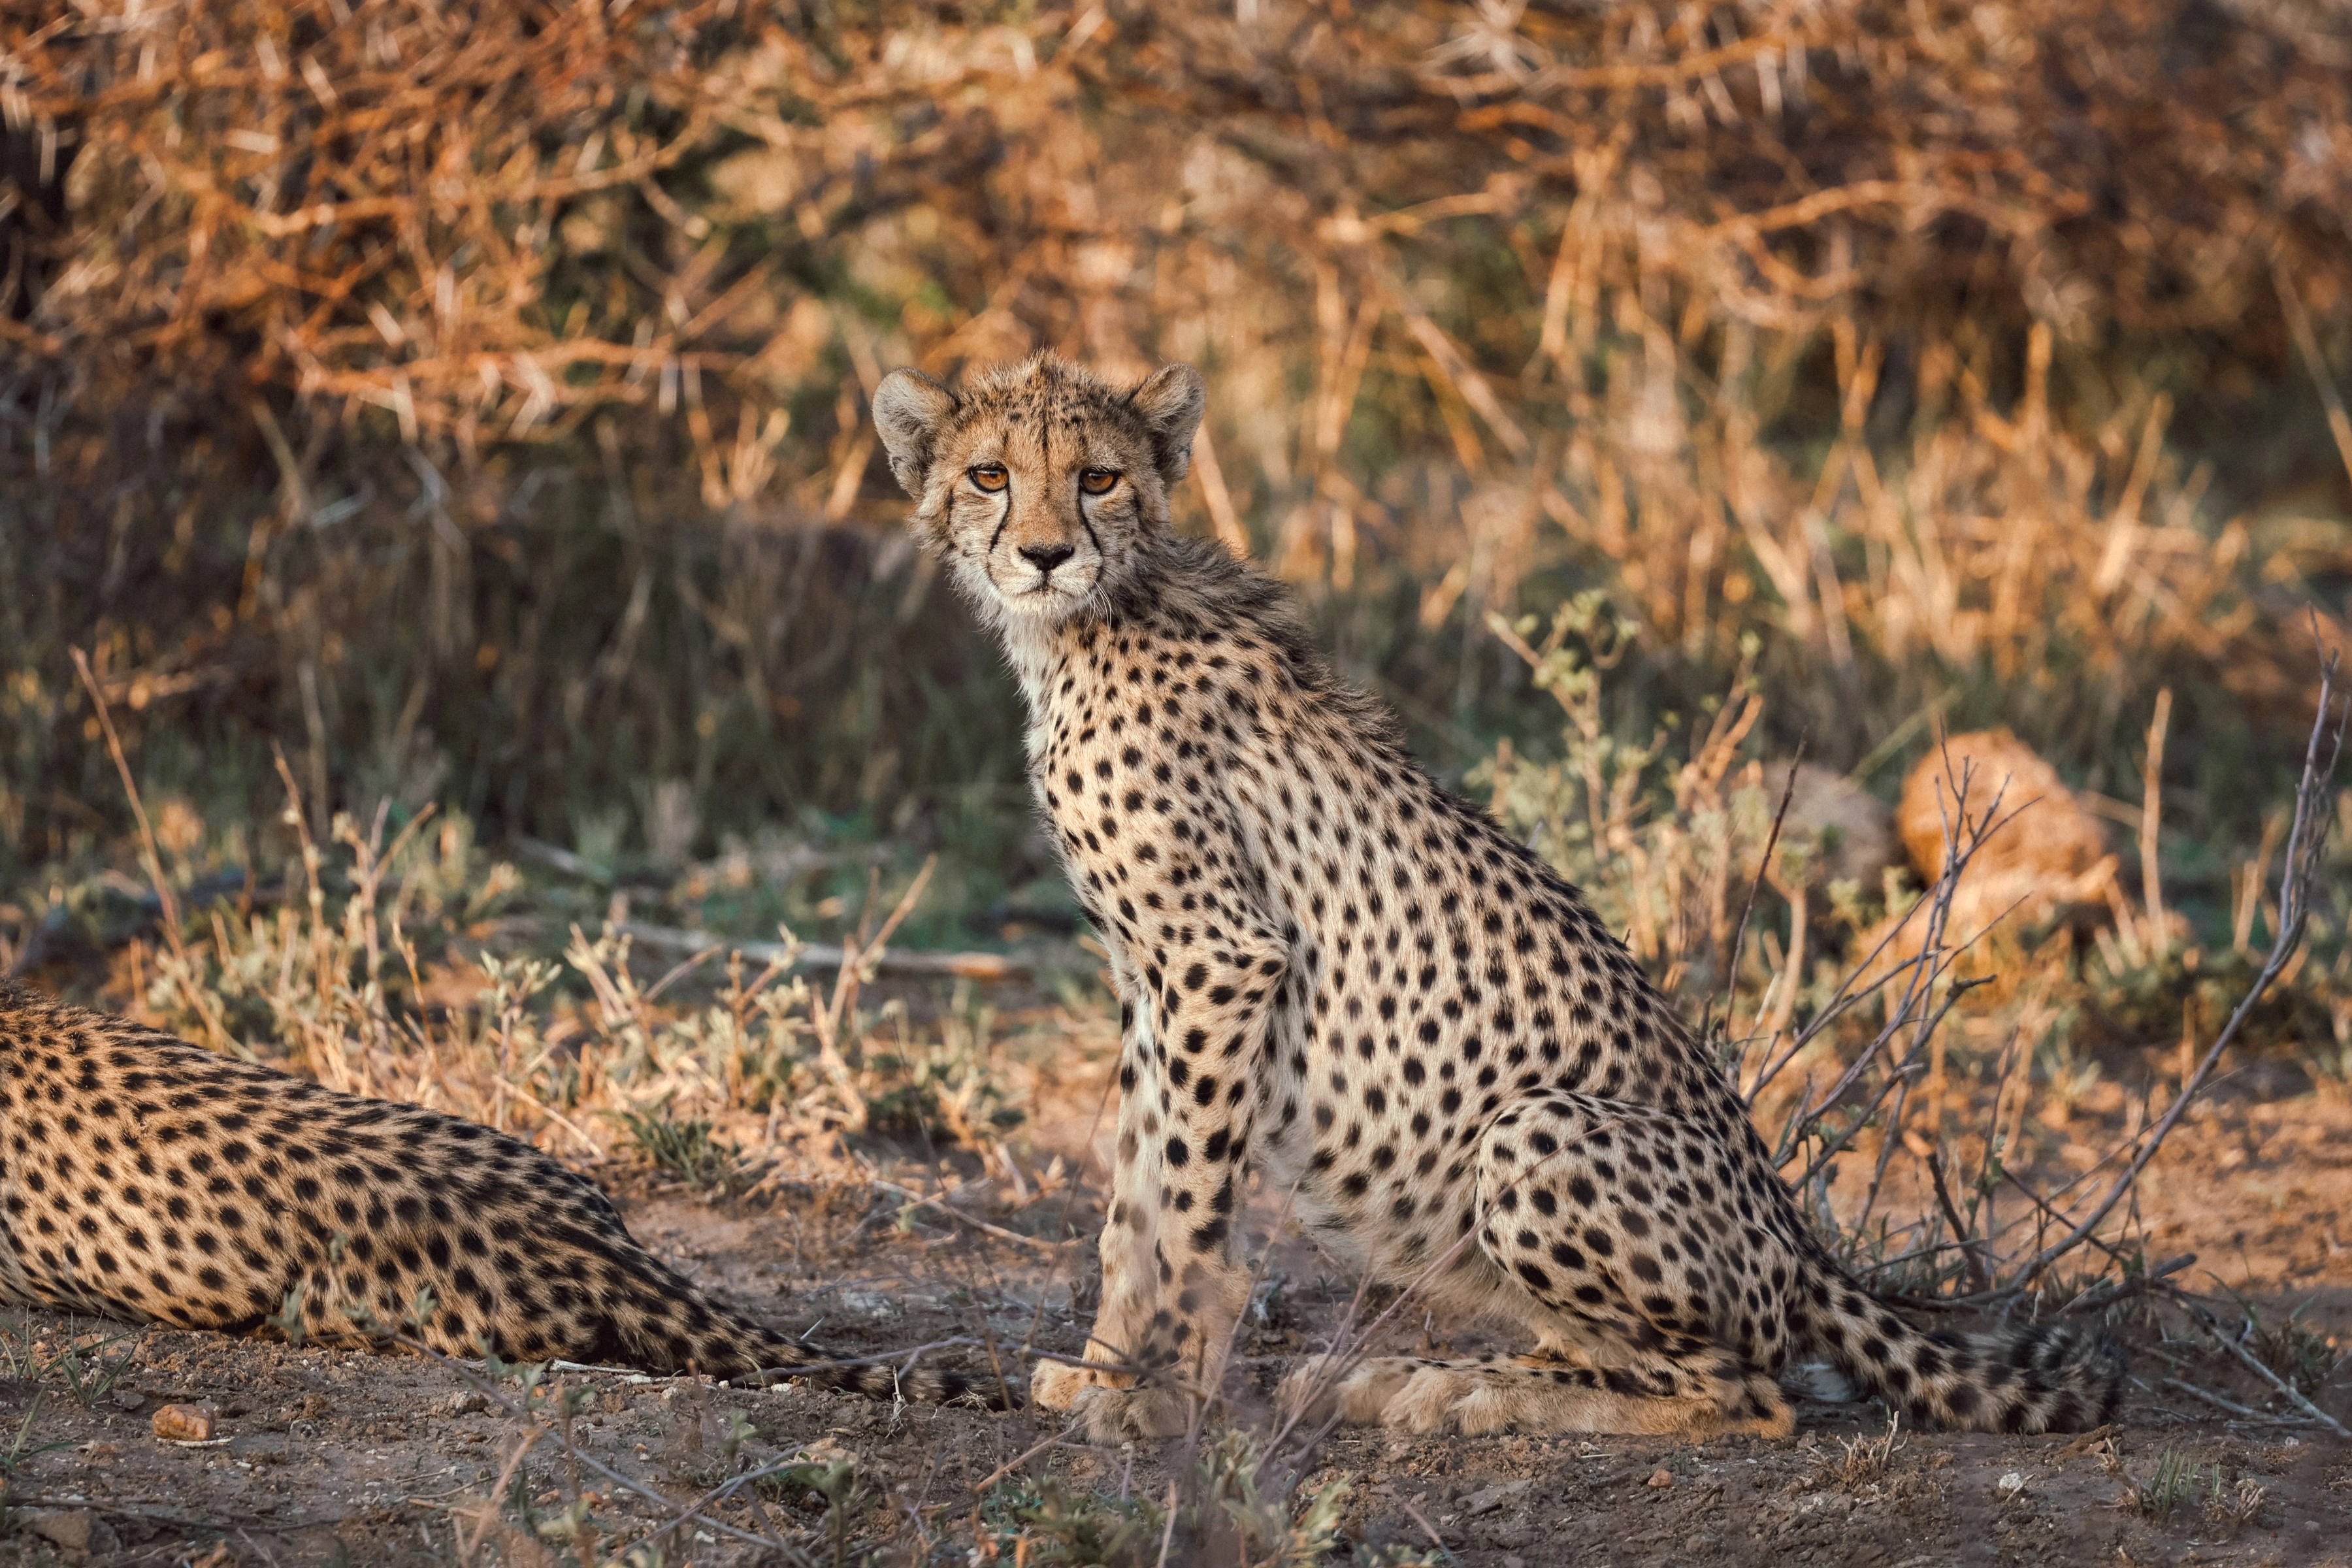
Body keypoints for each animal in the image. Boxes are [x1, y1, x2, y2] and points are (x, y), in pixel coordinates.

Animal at [871, 352, 2127, 1443]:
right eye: (990, 474)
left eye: (1097, 477)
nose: (1043, 554)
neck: (1089, 621)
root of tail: (1802, 1244)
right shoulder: (1155, 980)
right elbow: (1129, 1204)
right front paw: (1101, 1378)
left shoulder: (1218, 960)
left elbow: (1182, 1212)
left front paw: (1155, 1399)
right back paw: (1418, 1378)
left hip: (1534, 1131)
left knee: (1748, 1395)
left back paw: (1465, 1394)